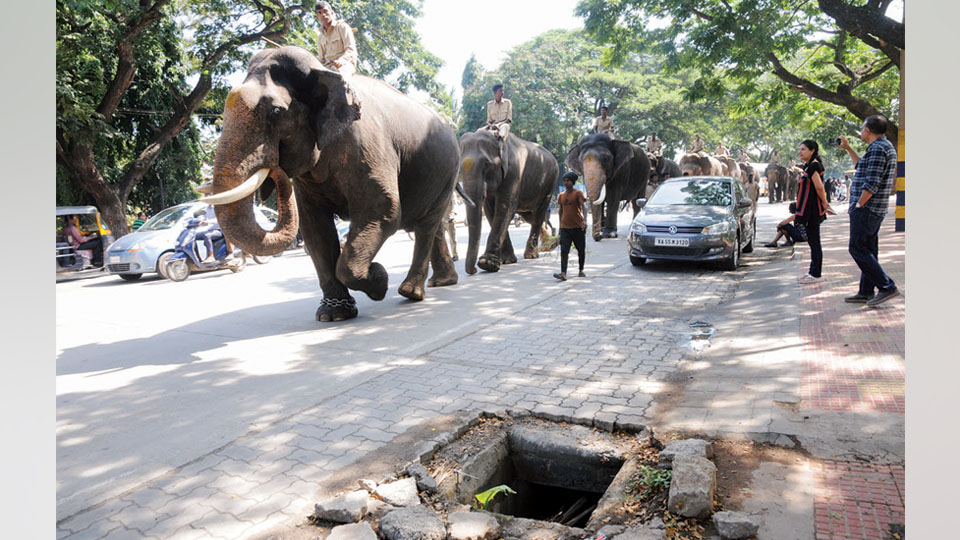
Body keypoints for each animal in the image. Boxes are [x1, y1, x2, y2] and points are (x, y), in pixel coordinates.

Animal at [206, 45, 464, 320]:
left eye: (275, 111)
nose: (275, 168)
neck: (321, 70)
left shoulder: (367, 149)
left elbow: (383, 211)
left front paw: (379, 280)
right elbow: (315, 228)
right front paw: (334, 314)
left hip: (449, 172)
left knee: (426, 226)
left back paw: (410, 292)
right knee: (430, 226)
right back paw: (440, 282)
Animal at [460, 130, 560, 274]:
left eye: (487, 164)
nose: (473, 270)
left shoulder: (514, 172)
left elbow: (504, 207)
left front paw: (486, 263)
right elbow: (490, 211)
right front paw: (506, 261)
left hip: (550, 183)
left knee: (538, 215)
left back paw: (532, 254)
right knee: (529, 216)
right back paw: (550, 244)